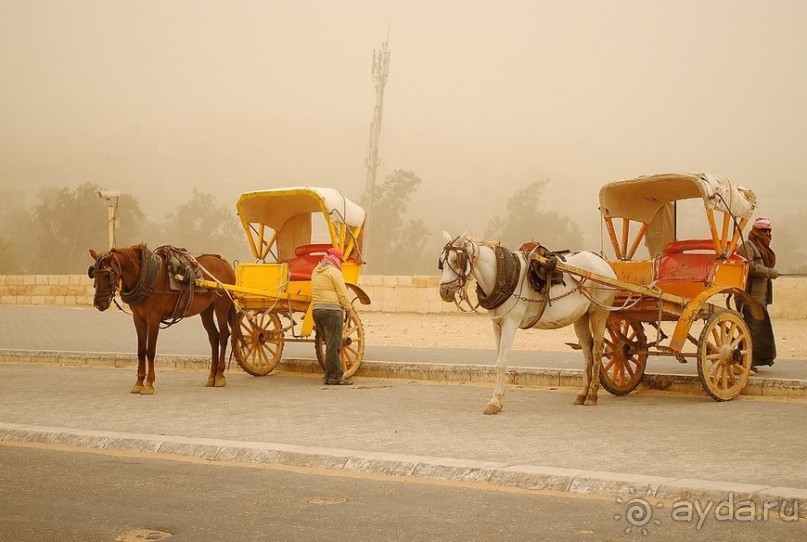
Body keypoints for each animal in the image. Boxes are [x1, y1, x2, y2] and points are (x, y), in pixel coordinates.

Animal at [90, 245, 240, 396]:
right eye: (94, 274)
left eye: (107, 275)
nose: (99, 304)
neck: (146, 276)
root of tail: (224, 263)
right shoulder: (138, 318)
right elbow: (141, 351)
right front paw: (138, 383)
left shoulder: (154, 319)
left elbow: (150, 351)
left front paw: (149, 384)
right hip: (206, 310)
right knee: (214, 337)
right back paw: (212, 376)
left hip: (222, 306)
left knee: (224, 336)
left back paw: (220, 375)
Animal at [438, 232, 616, 414]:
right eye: (441, 262)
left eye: (456, 260)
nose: (444, 291)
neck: (502, 274)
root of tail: (602, 261)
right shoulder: (497, 324)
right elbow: (498, 359)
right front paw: (499, 399)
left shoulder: (510, 323)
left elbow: (501, 362)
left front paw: (494, 402)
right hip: (581, 316)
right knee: (587, 350)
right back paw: (582, 394)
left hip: (599, 310)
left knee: (597, 349)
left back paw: (592, 395)